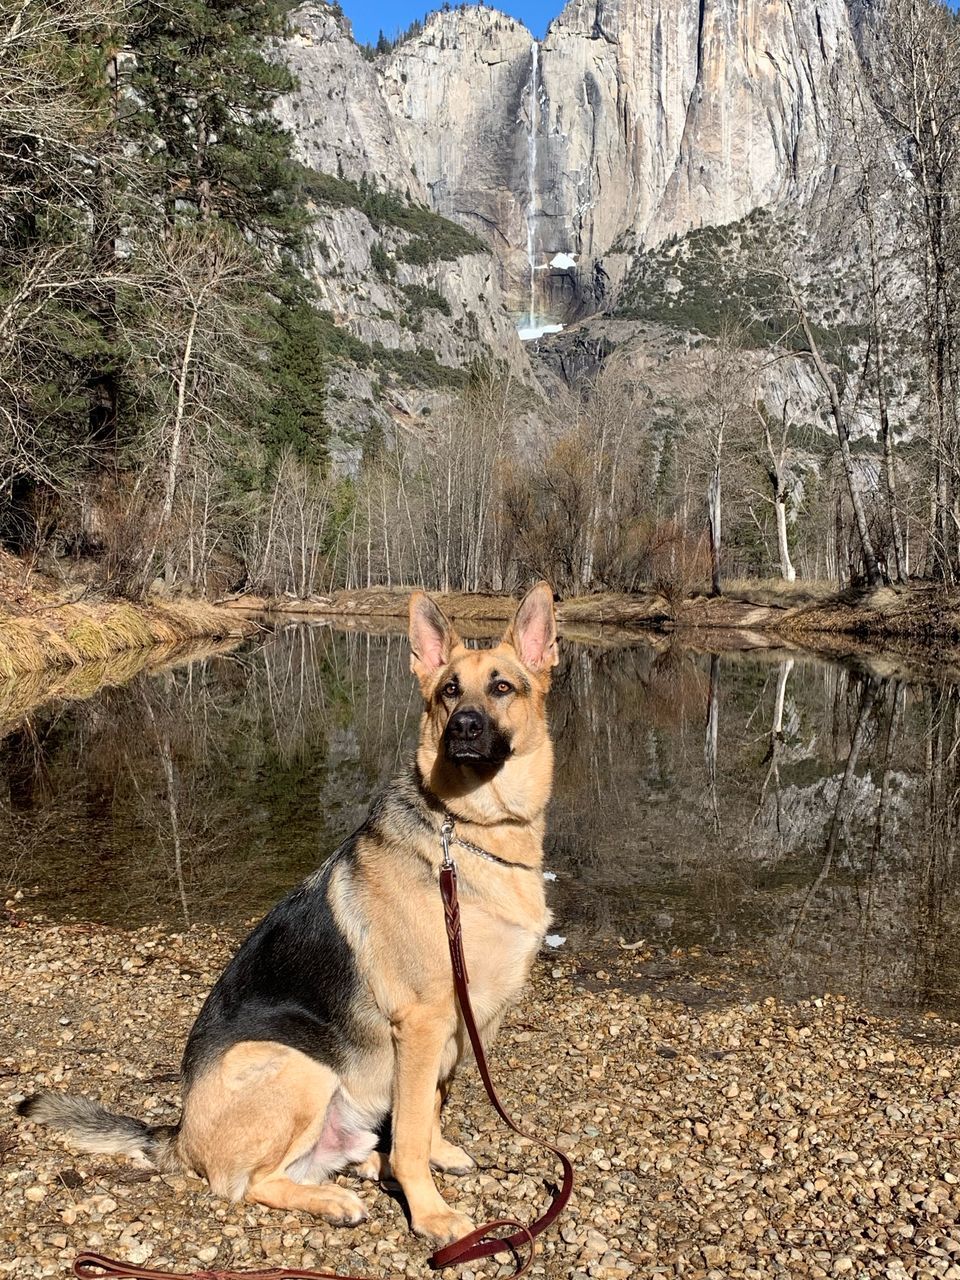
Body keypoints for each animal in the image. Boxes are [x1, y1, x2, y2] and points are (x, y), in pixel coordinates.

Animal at [18, 586, 560, 1244]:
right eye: (448, 691)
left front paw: (437, 1153)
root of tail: (177, 1136)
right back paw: (336, 1200)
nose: (464, 728)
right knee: (247, 1184)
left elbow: (427, 1109)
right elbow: (409, 1129)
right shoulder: (423, 1022)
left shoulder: (466, 1023)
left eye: (502, 687)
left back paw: (362, 1172)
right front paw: (429, 1210)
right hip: (300, 1067)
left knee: (335, 1156)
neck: (469, 831)